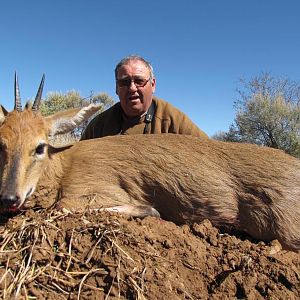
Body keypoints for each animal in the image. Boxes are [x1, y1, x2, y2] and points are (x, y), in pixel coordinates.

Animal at [0, 75, 300, 251]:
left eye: (40, 146)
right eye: (1, 144)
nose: (9, 197)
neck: (64, 164)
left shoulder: (94, 191)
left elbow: (60, 206)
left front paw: (150, 210)